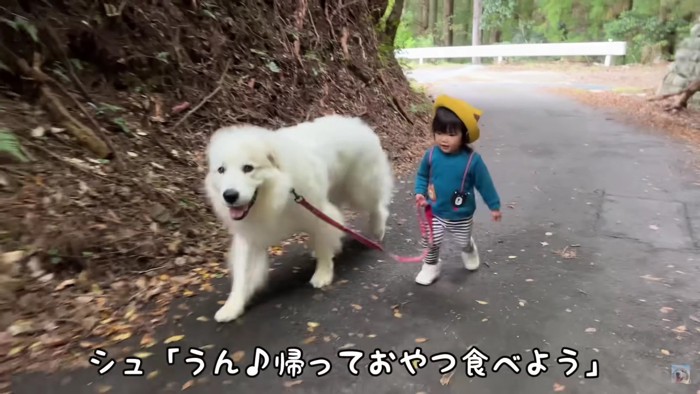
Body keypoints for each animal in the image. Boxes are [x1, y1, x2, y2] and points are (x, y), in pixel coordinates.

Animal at [205, 114, 396, 324]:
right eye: (221, 170)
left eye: (248, 168)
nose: (229, 195)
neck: (278, 192)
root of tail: (355, 122)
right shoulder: (251, 235)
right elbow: (242, 274)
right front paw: (232, 306)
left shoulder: (318, 211)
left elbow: (324, 245)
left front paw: (322, 274)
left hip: (359, 188)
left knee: (376, 206)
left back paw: (378, 229)